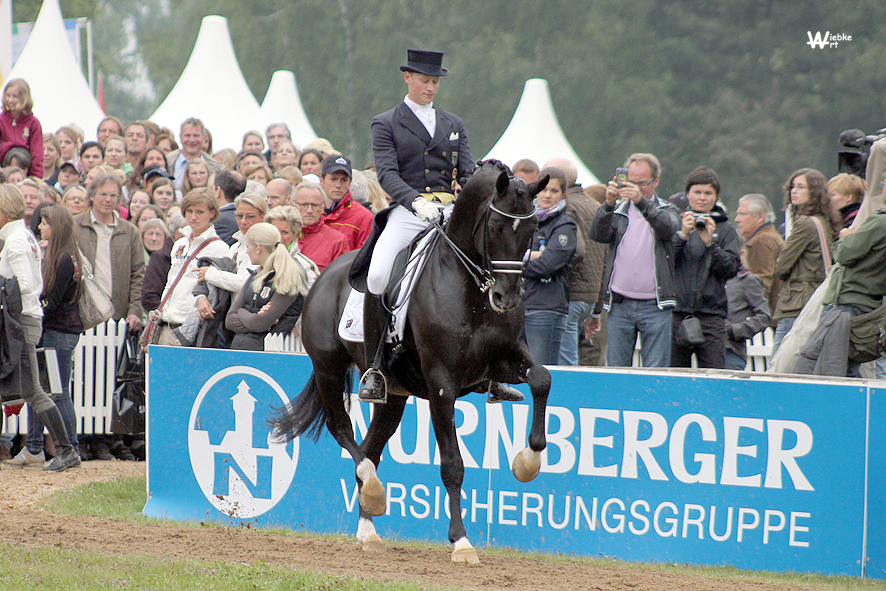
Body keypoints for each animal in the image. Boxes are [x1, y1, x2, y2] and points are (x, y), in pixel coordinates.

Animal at [274, 161, 552, 564]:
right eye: (496, 227)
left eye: (533, 231)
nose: (507, 298)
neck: (469, 290)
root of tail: (322, 275)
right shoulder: (442, 385)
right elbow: (452, 465)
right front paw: (461, 542)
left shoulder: (505, 359)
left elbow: (543, 380)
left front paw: (527, 463)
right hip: (329, 369)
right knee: (343, 431)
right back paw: (374, 492)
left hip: (394, 396)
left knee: (371, 447)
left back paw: (369, 528)